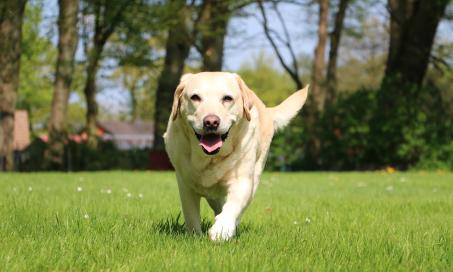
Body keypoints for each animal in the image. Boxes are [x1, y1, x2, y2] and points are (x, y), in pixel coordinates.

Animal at [162, 72, 308, 240]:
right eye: (195, 97)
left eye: (227, 98)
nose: (211, 122)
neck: (211, 159)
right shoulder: (185, 184)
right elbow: (191, 215)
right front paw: (195, 236)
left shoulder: (242, 181)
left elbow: (233, 206)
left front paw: (222, 229)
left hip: (256, 174)